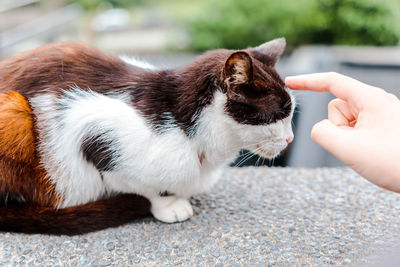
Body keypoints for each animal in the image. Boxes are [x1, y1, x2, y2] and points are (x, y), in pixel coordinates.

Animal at [0, 37, 294, 234]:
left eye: (291, 115)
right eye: (276, 116)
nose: (290, 138)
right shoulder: (93, 126)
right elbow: (143, 186)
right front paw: (169, 204)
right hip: (14, 112)